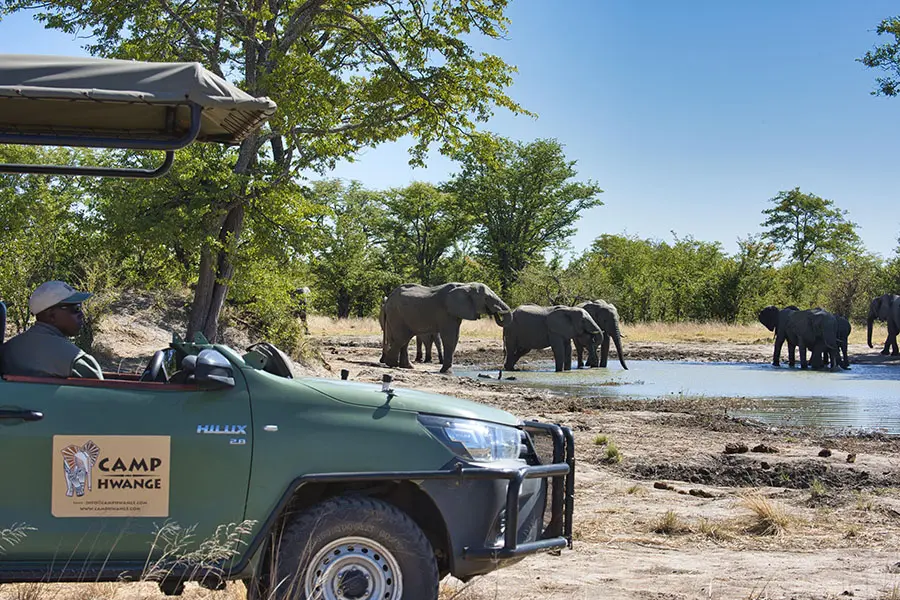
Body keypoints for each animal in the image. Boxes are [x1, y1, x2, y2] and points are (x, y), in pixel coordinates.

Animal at [376, 280, 510, 372]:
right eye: (487, 298)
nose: (497, 312)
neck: (466, 285)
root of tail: (388, 299)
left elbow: (455, 337)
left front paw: (446, 370)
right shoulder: (446, 312)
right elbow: (449, 337)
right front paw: (446, 371)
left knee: (405, 339)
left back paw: (407, 366)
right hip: (396, 314)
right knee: (402, 337)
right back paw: (392, 364)